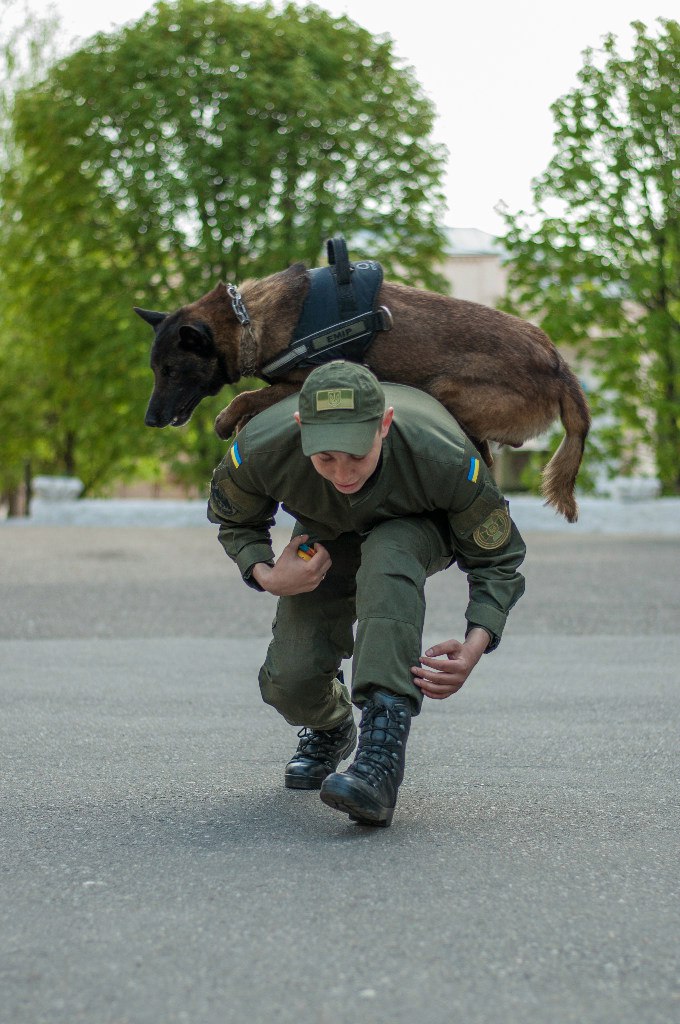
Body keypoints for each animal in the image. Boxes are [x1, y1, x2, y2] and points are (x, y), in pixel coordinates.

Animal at [136, 256, 590, 522]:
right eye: (156, 369)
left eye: (171, 371)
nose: (150, 419)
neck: (247, 317)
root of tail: (559, 366)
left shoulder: (301, 381)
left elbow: (248, 396)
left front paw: (226, 418)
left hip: (446, 388)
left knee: (484, 455)